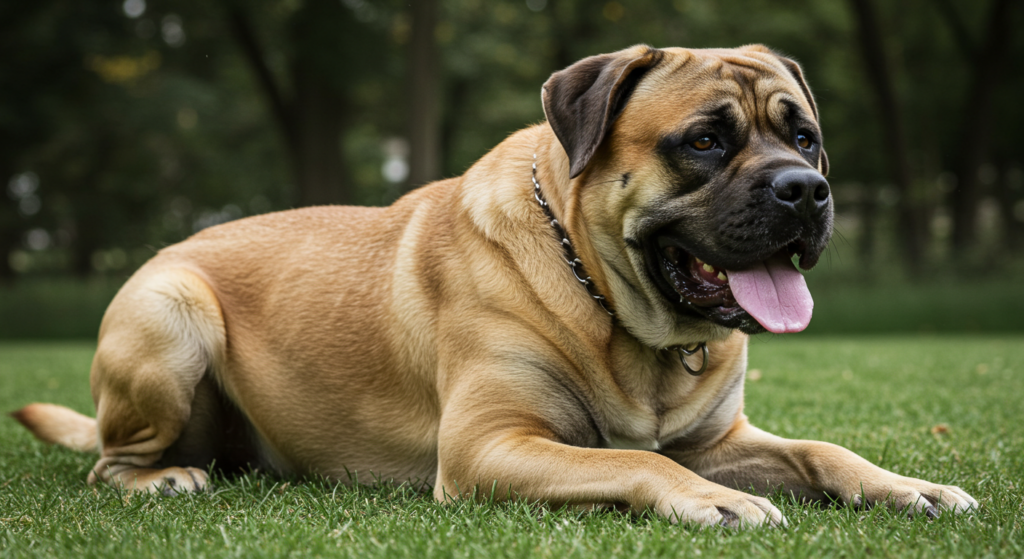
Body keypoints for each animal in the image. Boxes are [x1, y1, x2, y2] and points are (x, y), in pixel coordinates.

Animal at [16, 44, 974, 528]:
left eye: (803, 137)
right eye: (703, 141)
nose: (804, 190)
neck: (623, 318)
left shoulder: (719, 435)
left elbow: (822, 449)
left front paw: (906, 485)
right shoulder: (489, 444)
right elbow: (630, 456)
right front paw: (718, 500)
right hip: (167, 319)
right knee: (107, 462)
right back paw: (164, 478)